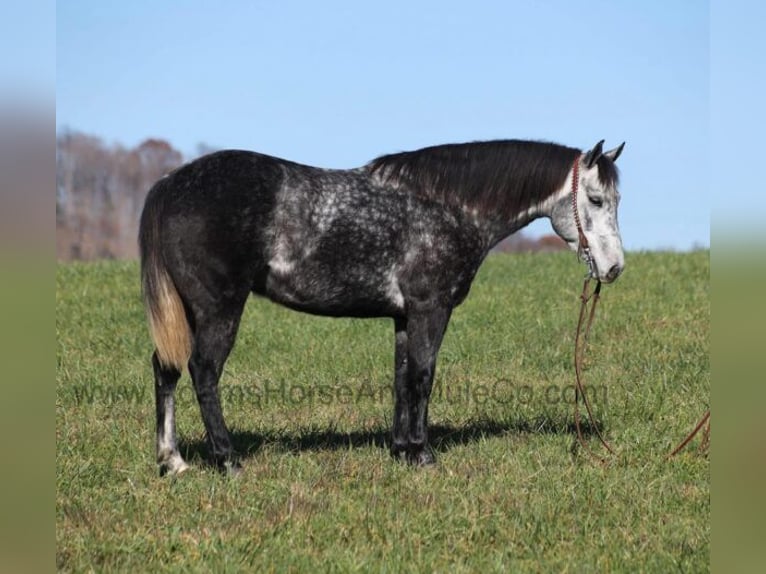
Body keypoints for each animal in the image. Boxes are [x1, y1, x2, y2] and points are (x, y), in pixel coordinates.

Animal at [139, 138, 625, 475]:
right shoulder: (431, 308)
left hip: (185, 311)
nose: (614, 267)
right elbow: (424, 376)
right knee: (203, 371)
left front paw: (402, 450)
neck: (448, 206)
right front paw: (424, 456)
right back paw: (227, 460)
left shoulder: (404, 316)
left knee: (166, 369)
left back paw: (173, 461)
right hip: (218, 308)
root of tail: (169, 185)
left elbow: (402, 378)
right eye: (596, 199)